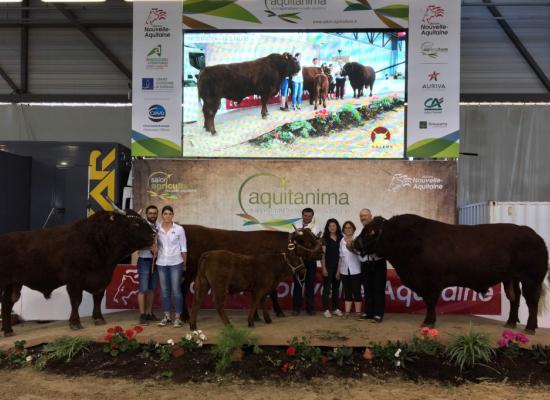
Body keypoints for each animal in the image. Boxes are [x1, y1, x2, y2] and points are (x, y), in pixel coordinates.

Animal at [183, 30, 408, 159]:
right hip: (213, 99)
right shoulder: (266, 91)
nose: (299, 66)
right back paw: (212, 131)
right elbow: (264, 103)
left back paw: (207, 128)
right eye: (291, 60)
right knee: (210, 114)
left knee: (207, 114)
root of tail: (203, 71)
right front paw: (265, 114)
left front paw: (267, 113)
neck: (276, 67)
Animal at [356, 214, 548, 332]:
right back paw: (510, 323)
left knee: (531, 301)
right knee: (514, 298)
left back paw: (530, 328)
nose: (354, 244)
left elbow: (430, 302)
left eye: (369, 231)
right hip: (511, 278)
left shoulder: (431, 281)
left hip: (532, 278)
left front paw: (428, 321)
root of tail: (534, 235)